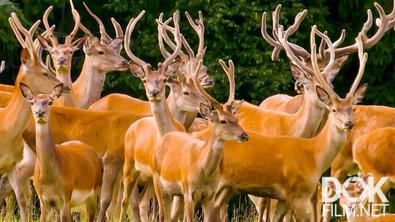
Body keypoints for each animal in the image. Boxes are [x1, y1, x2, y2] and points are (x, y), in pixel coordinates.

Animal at [19, 83, 102, 222]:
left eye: (50, 102)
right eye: (32, 102)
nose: (40, 112)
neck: (50, 179)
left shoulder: (65, 197)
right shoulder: (44, 201)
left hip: (93, 192)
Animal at [152, 59, 248, 222]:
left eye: (236, 119)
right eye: (223, 121)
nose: (244, 135)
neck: (202, 170)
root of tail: (166, 135)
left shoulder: (210, 195)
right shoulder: (188, 191)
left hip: (175, 193)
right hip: (158, 184)